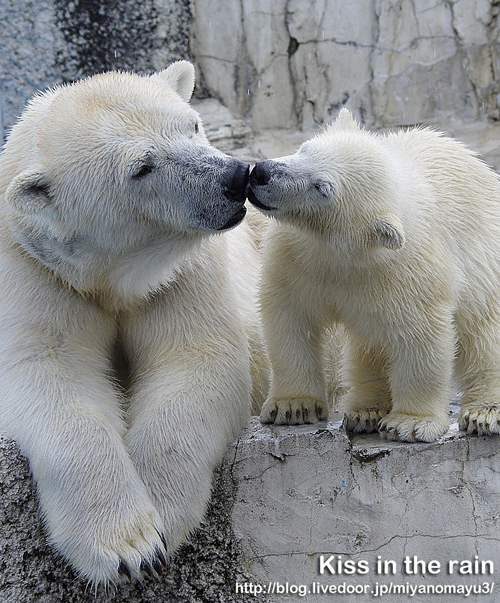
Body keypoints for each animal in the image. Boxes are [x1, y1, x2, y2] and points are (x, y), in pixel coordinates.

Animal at [0, 61, 268, 584]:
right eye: (142, 167)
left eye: (193, 125)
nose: (234, 176)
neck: (109, 278)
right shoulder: (34, 269)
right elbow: (47, 371)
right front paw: (128, 547)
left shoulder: (181, 274)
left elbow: (198, 360)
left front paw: (160, 518)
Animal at [247, 109, 500, 444]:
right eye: (305, 149)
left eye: (322, 187)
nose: (262, 172)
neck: (346, 253)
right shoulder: (295, 259)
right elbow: (291, 317)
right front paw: (293, 406)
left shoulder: (406, 275)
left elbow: (421, 339)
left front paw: (409, 423)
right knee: (369, 344)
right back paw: (366, 411)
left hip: (485, 270)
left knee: (484, 336)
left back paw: (484, 413)